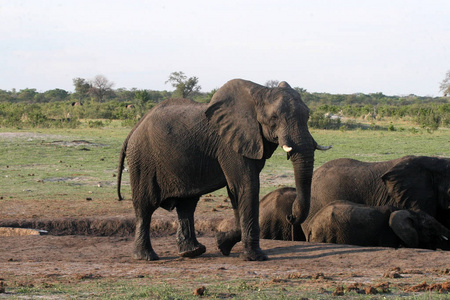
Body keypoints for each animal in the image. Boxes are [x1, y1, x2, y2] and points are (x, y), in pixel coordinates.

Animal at [116, 78, 328, 262]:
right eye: (274, 118)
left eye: (307, 116)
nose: (290, 216)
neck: (260, 93)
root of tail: (133, 129)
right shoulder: (229, 144)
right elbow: (246, 186)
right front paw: (256, 257)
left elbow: (236, 191)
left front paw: (222, 244)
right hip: (143, 160)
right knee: (145, 206)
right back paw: (147, 257)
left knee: (186, 205)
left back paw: (192, 252)